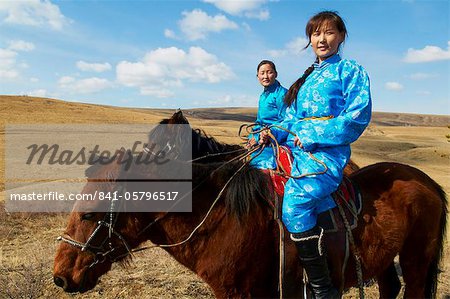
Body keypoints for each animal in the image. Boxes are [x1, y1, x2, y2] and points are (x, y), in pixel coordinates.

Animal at [52, 146, 446, 298]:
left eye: (90, 214)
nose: (60, 276)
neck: (223, 219)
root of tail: (428, 183)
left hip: (417, 260)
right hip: (383, 260)